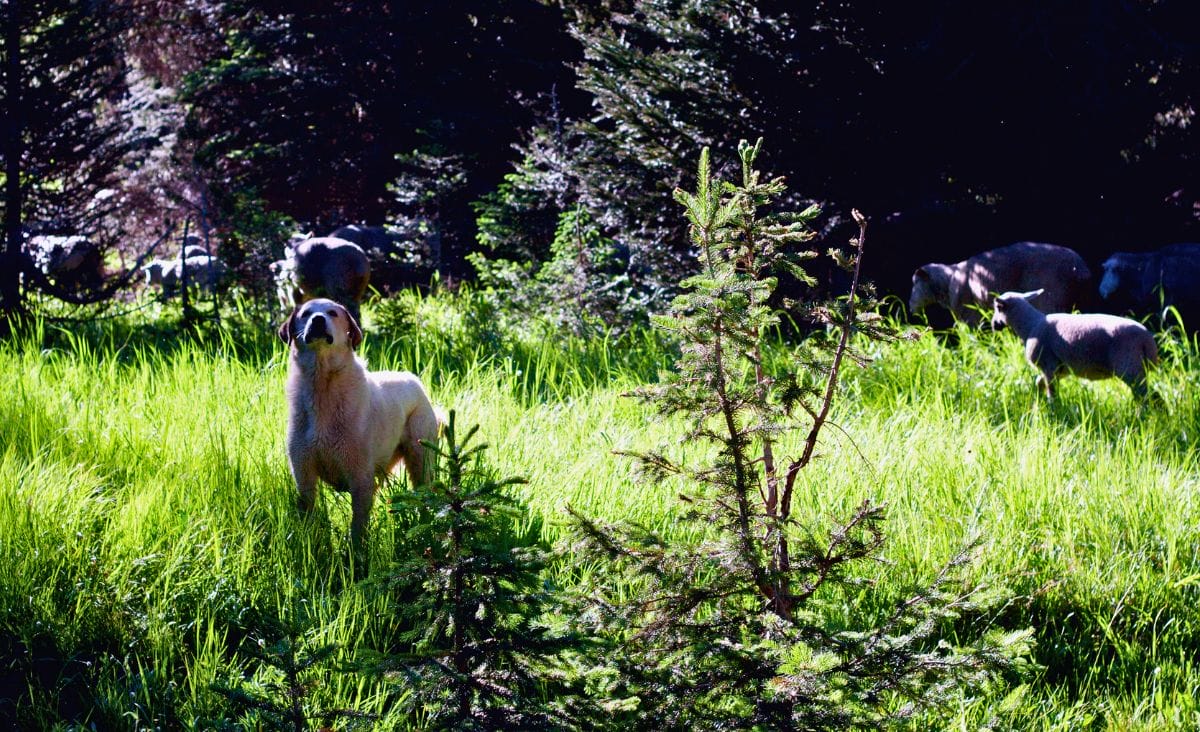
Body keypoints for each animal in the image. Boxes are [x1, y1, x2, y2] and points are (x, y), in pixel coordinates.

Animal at [907, 241, 1099, 324]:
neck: (948, 282)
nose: (909, 305)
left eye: (915, 283)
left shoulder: (969, 316)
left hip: (1051, 300)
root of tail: (1081, 269)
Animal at [988, 286, 1156, 398]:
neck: (1030, 326)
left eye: (997, 308)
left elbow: (1052, 394)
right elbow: (1039, 383)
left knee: (1146, 397)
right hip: (1139, 368)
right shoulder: (1061, 370)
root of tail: (1147, 339)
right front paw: (1037, 401)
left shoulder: (1049, 366)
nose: (994, 324)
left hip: (1130, 368)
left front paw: (1053, 411)